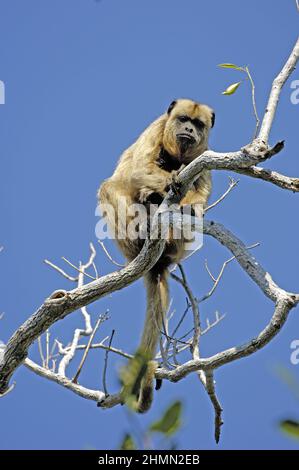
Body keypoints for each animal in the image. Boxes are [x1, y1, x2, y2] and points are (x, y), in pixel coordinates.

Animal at [99, 98, 216, 412]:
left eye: (198, 124)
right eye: (183, 119)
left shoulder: (206, 152)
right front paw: (169, 180)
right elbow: (139, 167)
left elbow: (201, 193)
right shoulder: (155, 128)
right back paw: (145, 223)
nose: (189, 129)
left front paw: (190, 204)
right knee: (111, 186)